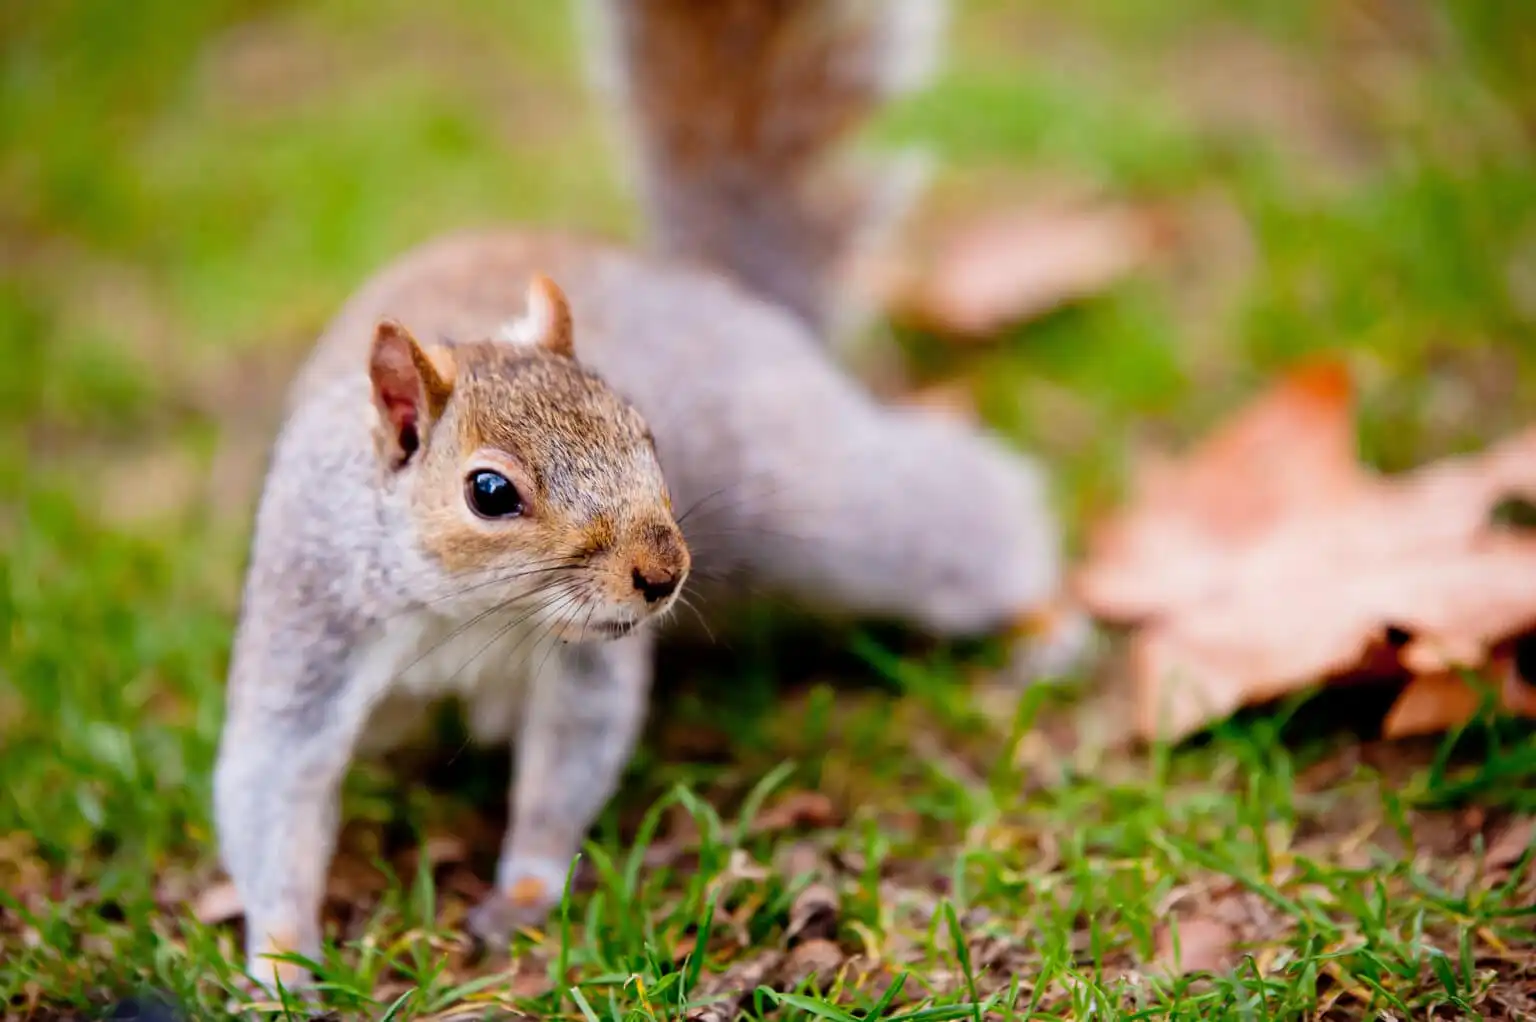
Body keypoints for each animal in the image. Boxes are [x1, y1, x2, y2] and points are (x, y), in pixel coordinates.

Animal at [214, 0, 1085, 994]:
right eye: (488, 492)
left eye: (645, 433)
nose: (662, 574)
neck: (468, 613)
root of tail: (718, 287)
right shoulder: (310, 626)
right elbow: (271, 783)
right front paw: (279, 963)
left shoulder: (585, 664)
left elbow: (570, 758)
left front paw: (523, 889)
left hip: (814, 497)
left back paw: (1043, 619)